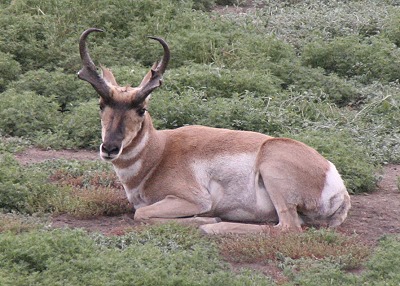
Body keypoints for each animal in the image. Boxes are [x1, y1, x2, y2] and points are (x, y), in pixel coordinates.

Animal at [77, 28, 350, 235]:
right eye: (101, 104)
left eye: (141, 108)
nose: (110, 148)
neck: (159, 153)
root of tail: (334, 178)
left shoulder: (193, 199)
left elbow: (140, 213)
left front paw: (208, 220)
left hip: (273, 170)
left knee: (288, 227)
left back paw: (215, 227)